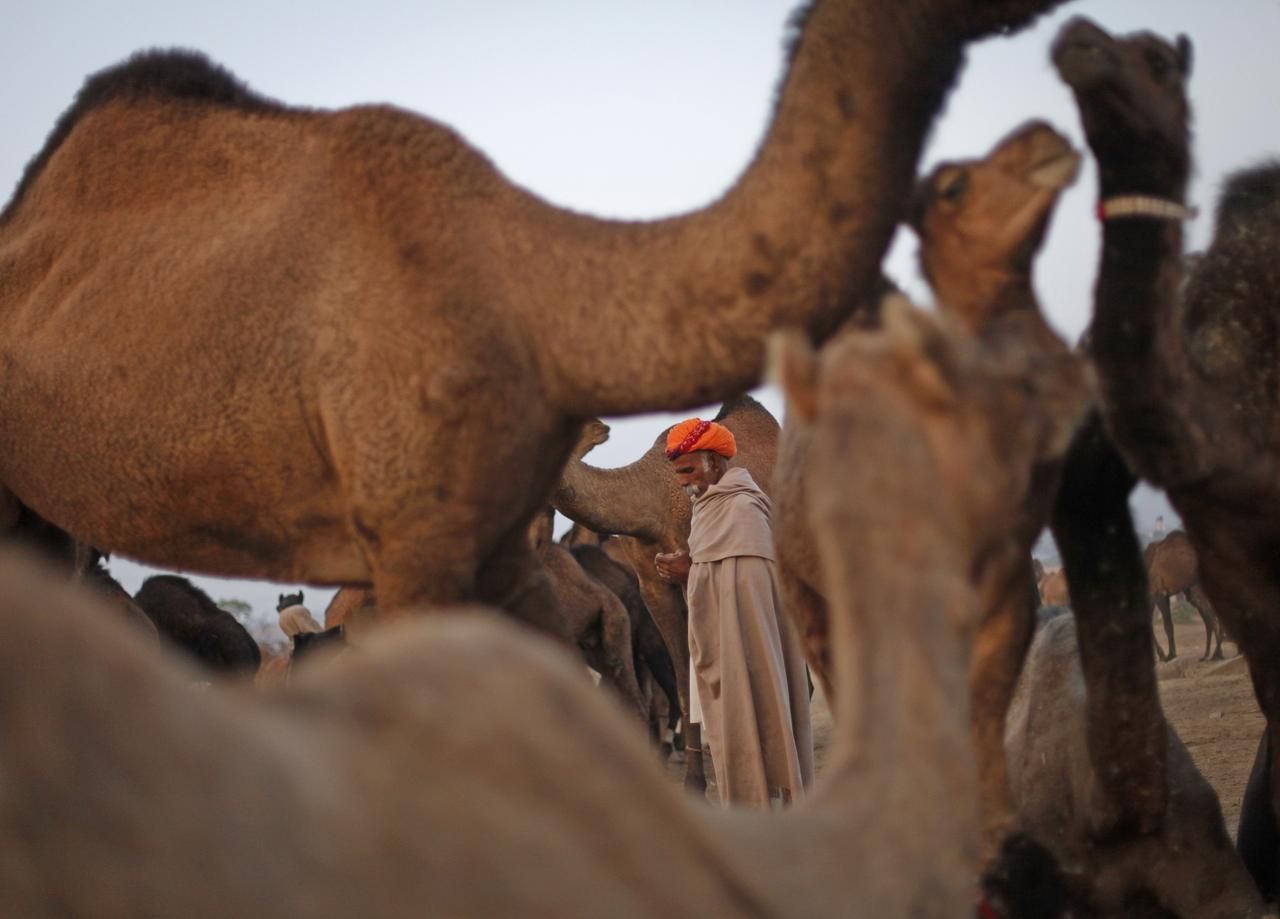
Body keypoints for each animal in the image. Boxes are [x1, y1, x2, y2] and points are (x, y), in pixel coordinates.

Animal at [768, 120, 1090, 880]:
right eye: (953, 185)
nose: (1044, 135)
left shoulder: (1011, 578)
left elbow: (985, 698)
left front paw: (998, 830)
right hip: (802, 591)